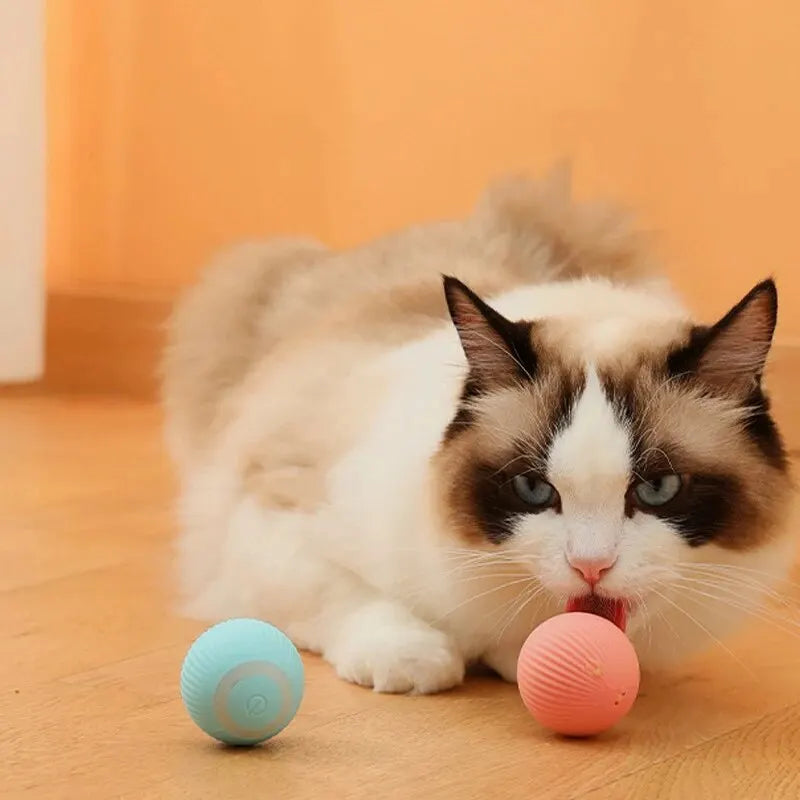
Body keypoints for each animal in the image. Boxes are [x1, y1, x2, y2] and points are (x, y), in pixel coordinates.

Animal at [164, 170, 792, 692]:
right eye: (533, 489)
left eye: (658, 489)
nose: (590, 567)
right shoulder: (272, 511)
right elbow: (344, 595)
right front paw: (415, 660)